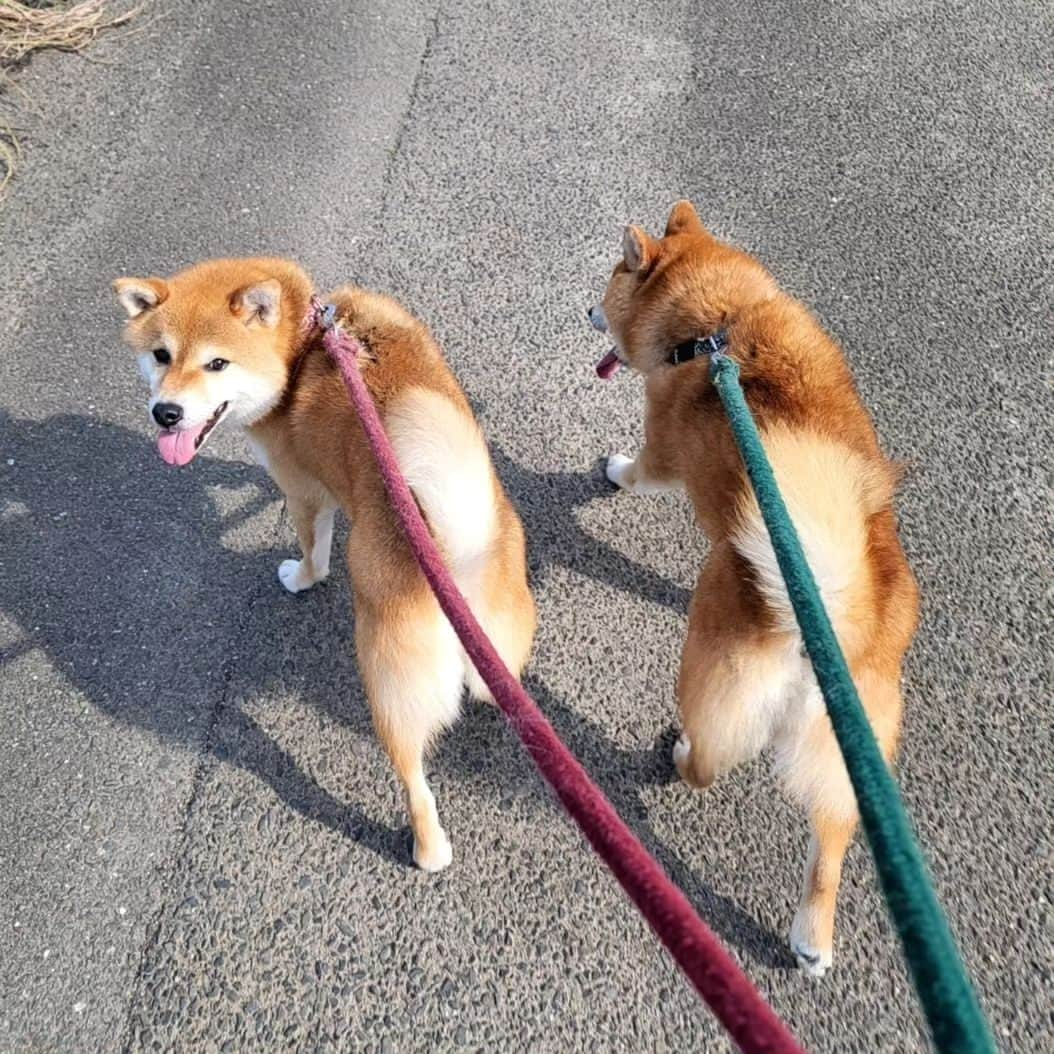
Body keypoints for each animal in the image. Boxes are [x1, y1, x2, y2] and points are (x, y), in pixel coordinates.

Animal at [115, 257, 535, 872]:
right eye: (161, 355)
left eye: (217, 363)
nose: (165, 413)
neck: (306, 339)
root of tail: (455, 552)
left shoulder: (303, 492)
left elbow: (314, 552)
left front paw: (300, 578)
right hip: (503, 637)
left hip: (386, 683)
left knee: (415, 781)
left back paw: (427, 848)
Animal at [590, 201, 919, 973]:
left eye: (611, 278)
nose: (586, 310)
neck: (717, 325)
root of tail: (830, 612)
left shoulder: (661, 452)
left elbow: (636, 470)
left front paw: (610, 470)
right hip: (851, 749)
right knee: (832, 840)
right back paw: (811, 941)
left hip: (711, 672)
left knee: (708, 763)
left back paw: (676, 753)